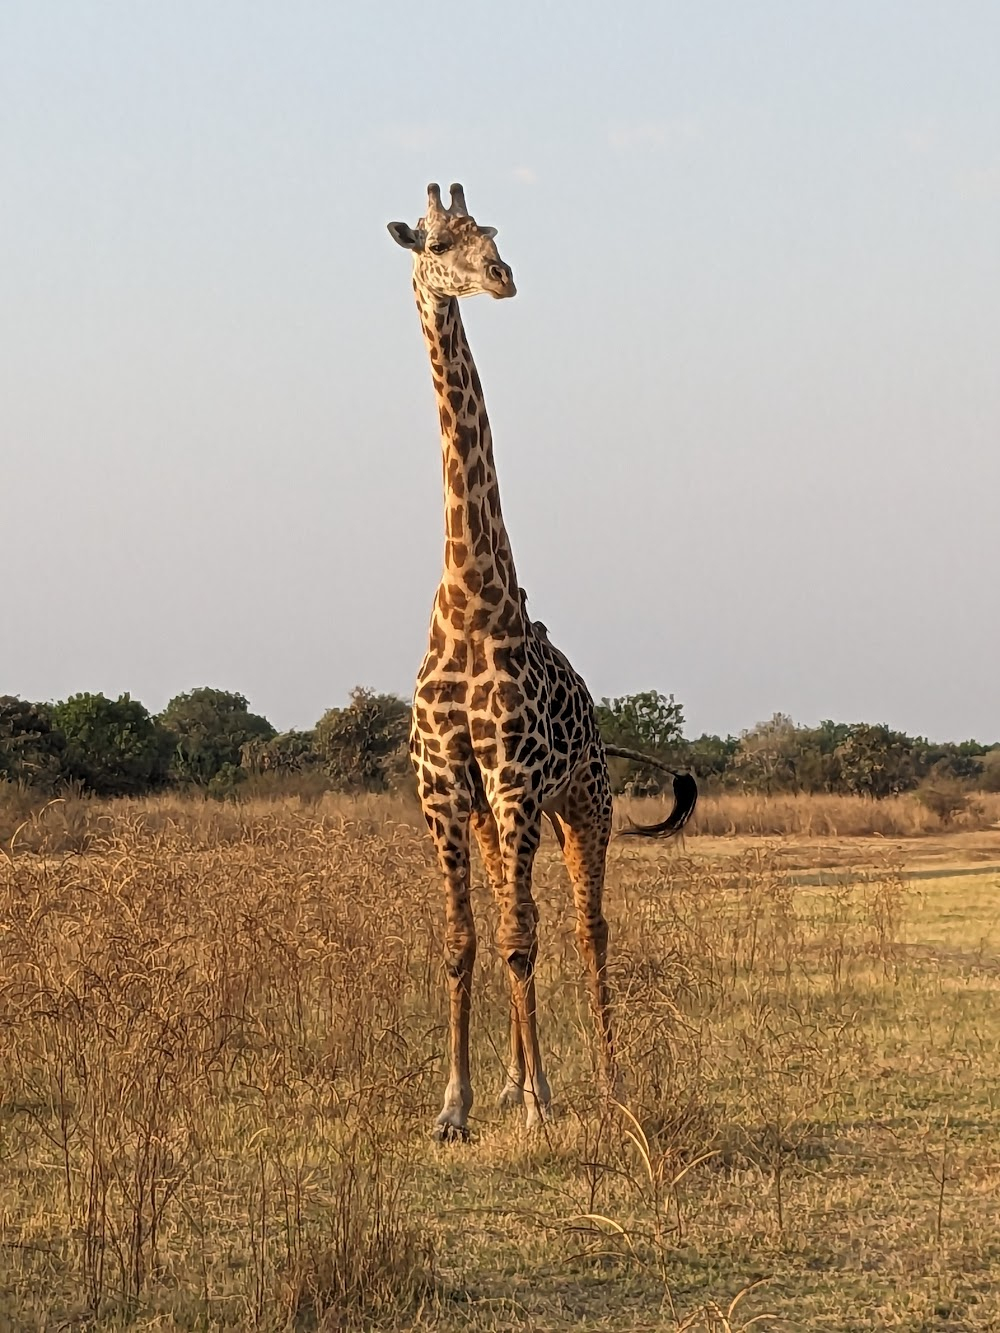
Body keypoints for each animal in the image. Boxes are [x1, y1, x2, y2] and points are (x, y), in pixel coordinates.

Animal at [386, 182, 698, 1141]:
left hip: (583, 801)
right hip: (501, 815)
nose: (502, 275)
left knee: (589, 927)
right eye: (438, 242)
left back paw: (605, 1081)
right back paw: (518, 1080)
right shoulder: (448, 786)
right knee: (514, 920)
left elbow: (525, 939)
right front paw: (457, 1103)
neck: (469, 601)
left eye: (492, 232)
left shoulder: (520, 780)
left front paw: (541, 1102)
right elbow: (467, 940)